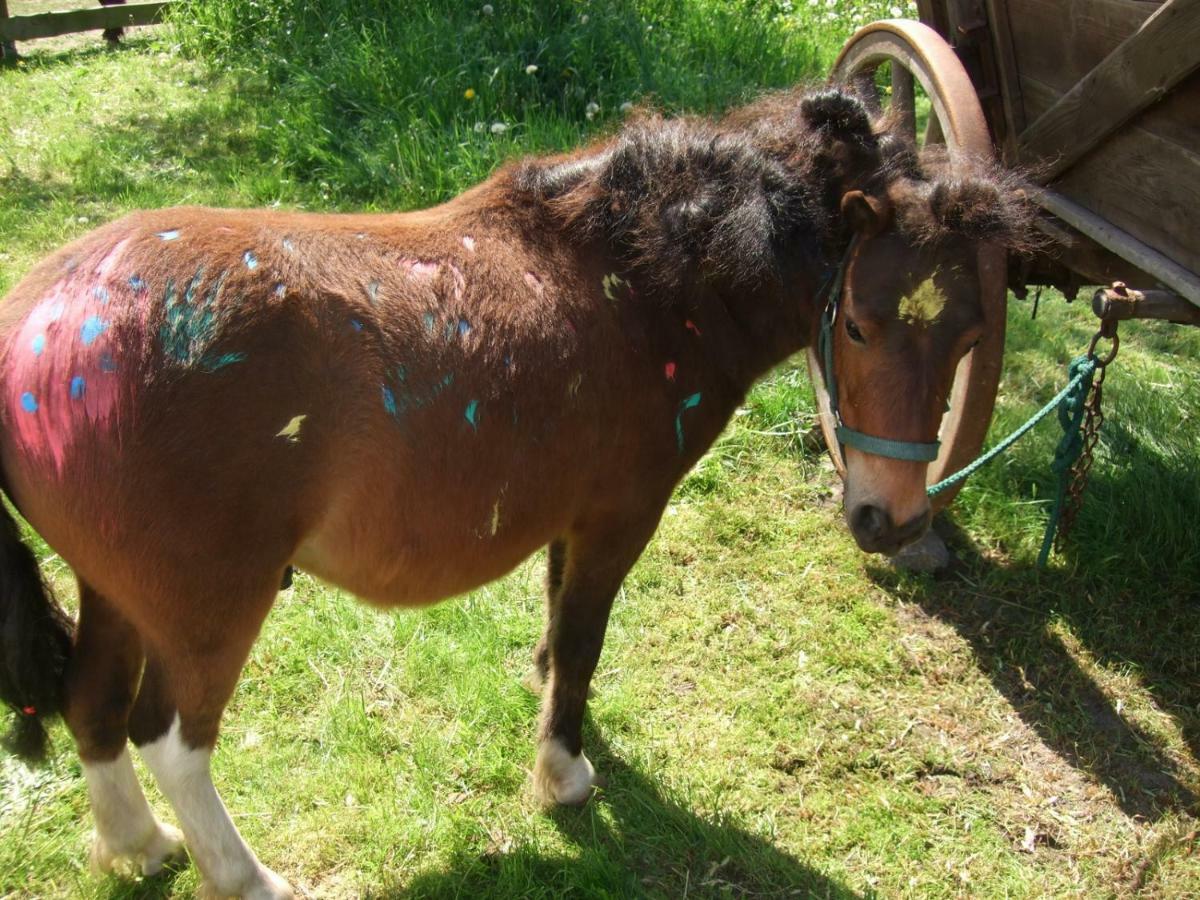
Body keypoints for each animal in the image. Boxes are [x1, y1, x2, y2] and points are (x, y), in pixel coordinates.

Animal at [2, 88, 1022, 897]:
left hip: (116, 594)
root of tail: (35, 333)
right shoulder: (618, 518)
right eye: (857, 324)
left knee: (91, 704)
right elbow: (581, 641)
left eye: (971, 339)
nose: (891, 520)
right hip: (208, 609)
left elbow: (558, 629)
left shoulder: (569, 519)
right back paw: (246, 878)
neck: (640, 279)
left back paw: (138, 847)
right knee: (169, 739)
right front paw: (564, 772)